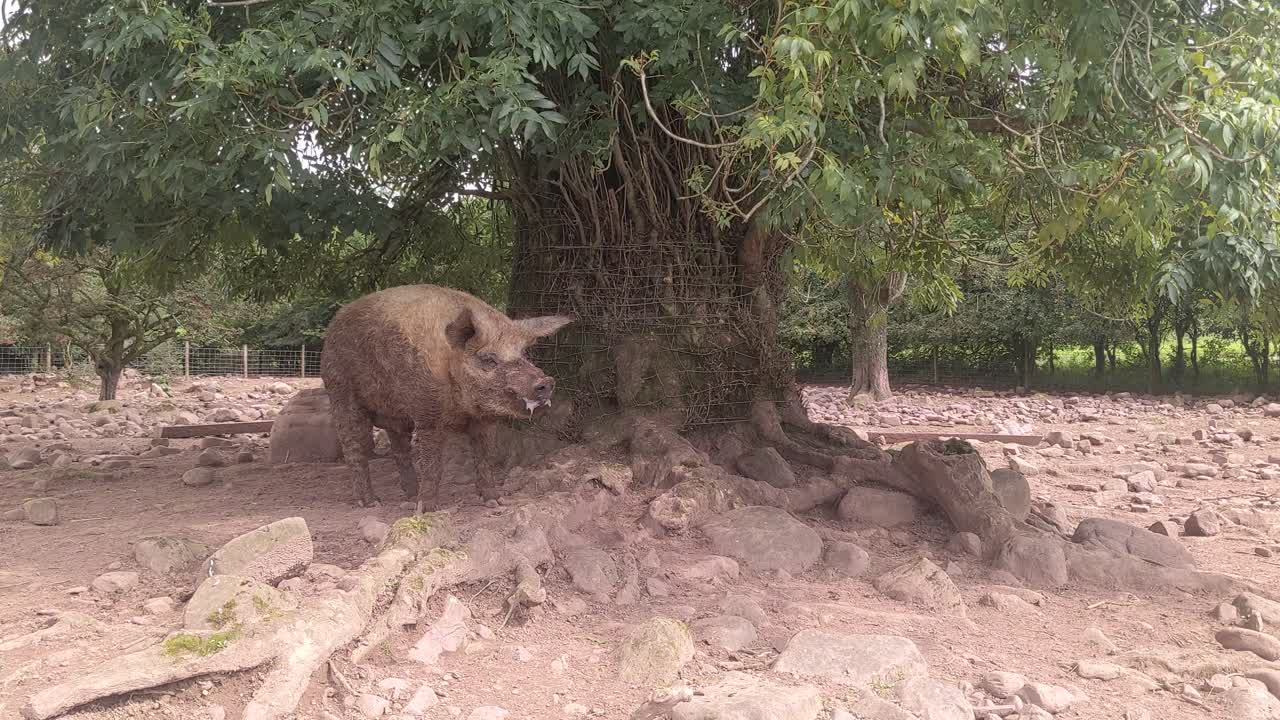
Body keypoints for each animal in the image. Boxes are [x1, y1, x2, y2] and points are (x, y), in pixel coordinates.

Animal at [320, 284, 572, 510]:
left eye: (523, 354)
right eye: (488, 359)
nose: (546, 381)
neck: (462, 408)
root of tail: (334, 323)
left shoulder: (485, 421)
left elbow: (485, 459)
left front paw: (496, 502)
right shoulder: (427, 413)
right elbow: (432, 464)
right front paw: (427, 509)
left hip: (396, 416)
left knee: (400, 451)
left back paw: (410, 497)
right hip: (340, 389)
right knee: (354, 448)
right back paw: (371, 503)